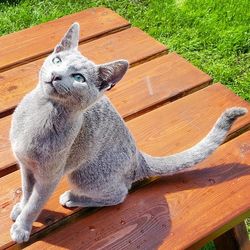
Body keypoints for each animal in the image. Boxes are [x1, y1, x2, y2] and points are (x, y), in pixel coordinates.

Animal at [9, 22, 246, 243]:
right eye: (57, 60)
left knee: (119, 194)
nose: (56, 75)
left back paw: (72, 197)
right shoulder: (26, 165)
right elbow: (27, 192)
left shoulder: (50, 176)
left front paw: (22, 227)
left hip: (84, 174)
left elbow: (35, 203)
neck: (41, 113)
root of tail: (138, 157)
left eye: (78, 78)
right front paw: (20, 209)